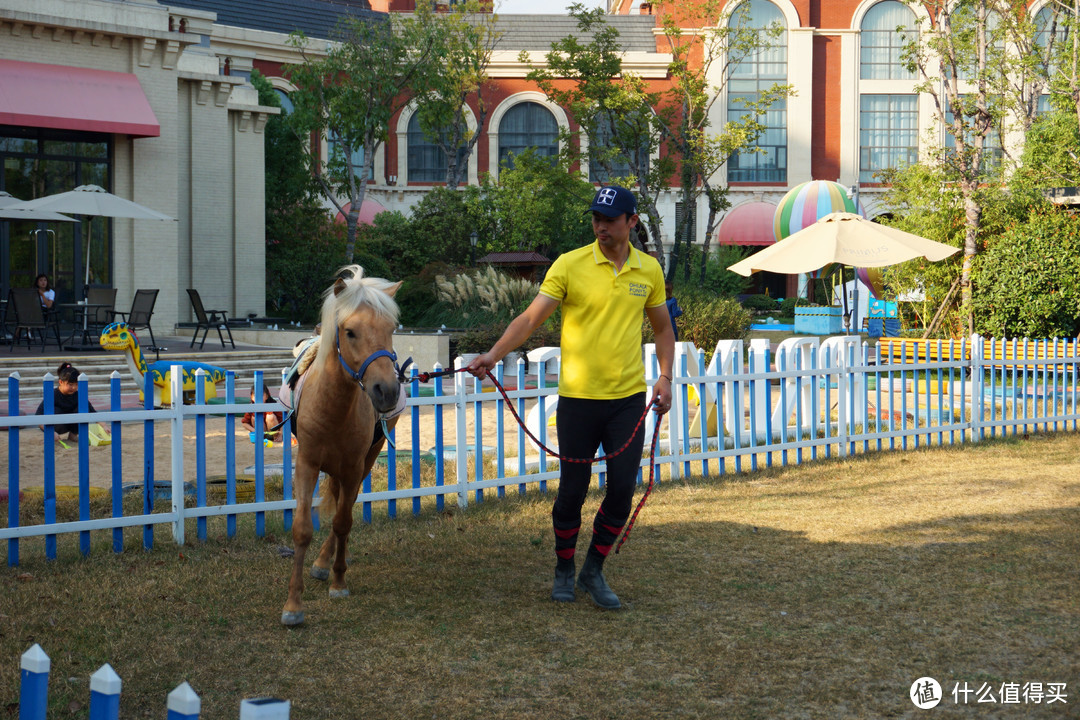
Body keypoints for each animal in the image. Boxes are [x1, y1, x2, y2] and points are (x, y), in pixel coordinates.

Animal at [282, 264, 406, 626]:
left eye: (391, 329)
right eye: (350, 331)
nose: (387, 391)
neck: (334, 406)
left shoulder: (352, 468)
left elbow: (343, 521)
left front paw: (338, 581)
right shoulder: (307, 465)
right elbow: (302, 529)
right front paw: (293, 605)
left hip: (367, 460)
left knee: (344, 510)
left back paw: (330, 562)